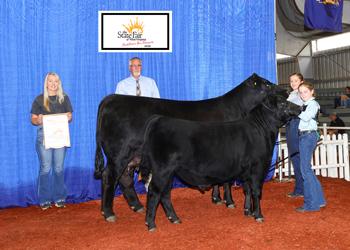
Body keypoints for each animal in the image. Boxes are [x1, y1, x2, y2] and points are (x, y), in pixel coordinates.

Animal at [93, 73, 288, 222]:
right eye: (267, 84)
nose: (285, 90)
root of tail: (111, 98)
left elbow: (219, 179)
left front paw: (216, 198)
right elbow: (226, 180)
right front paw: (229, 201)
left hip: (130, 156)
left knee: (125, 178)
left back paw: (137, 206)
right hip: (120, 153)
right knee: (110, 176)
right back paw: (109, 213)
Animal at [139, 94, 300, 231]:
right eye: (283, 102)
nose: (300, 107)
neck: (261, 129)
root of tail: (159, 119)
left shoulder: (247, 172)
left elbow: (247, 190)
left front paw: (248, 211)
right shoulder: (258, 169)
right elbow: (256, 192)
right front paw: (258, 215)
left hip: (169, 172)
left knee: (165, 193)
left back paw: (174, 218)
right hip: (162, 169)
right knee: (154, 191)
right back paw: (151, 223)